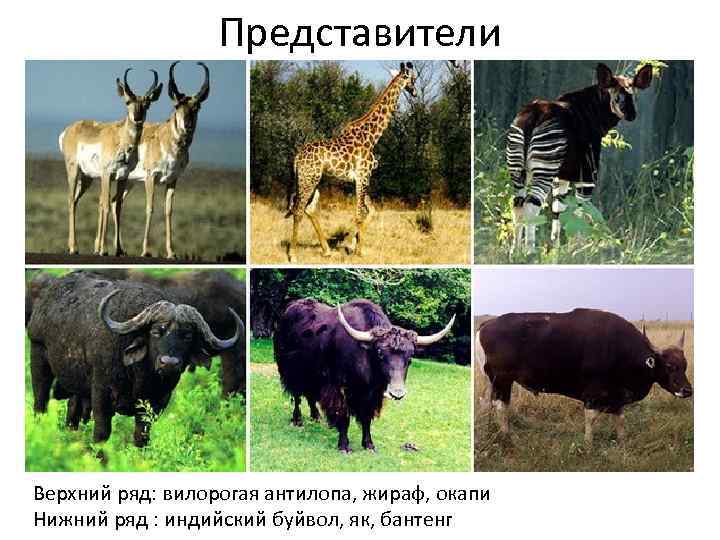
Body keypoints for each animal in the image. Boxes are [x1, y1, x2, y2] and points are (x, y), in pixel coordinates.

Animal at [285, 62, 417, 262]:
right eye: (413, 79)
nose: (415, 92)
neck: (372, 137)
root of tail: (297, 158)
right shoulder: (363, 175)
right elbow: (359, 214)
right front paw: (355, 248)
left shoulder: (361, 178)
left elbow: (371, 211)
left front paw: (353, 244)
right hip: (308, 179)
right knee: (298, 209)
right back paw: (293, 254)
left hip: (314, 179)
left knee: (310, 208)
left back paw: (326, 250)